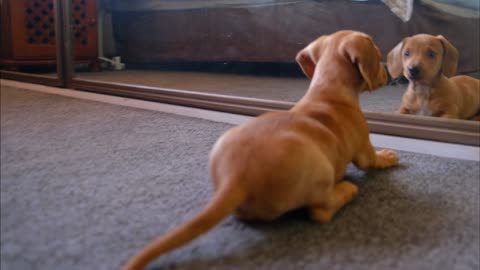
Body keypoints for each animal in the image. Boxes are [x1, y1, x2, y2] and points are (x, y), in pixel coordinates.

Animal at [122, 30, 400, 268]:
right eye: (377, 54)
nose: (389, 76)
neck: (328, 89)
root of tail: (236, 177)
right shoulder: (363, 148)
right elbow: (372, 160)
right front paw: (387, 156)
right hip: (320, 169)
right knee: (320, 211)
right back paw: (346, 190)